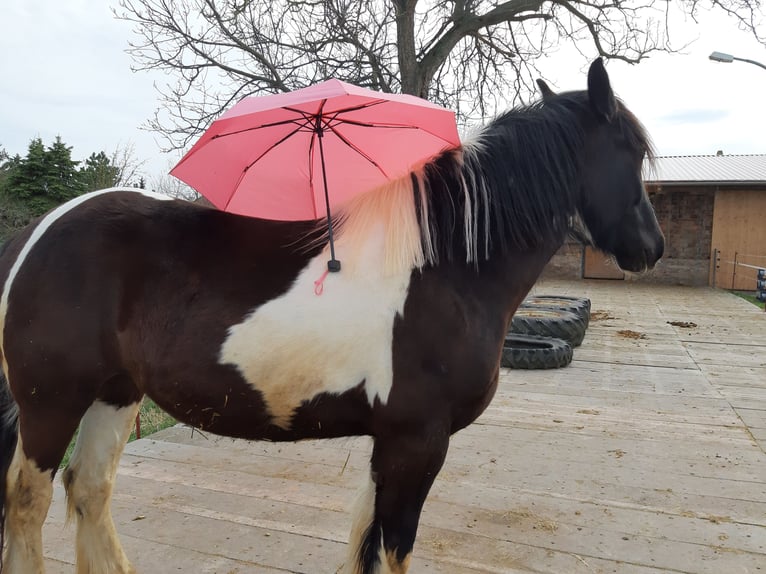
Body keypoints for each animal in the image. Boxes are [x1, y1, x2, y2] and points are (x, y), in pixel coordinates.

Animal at [0, 58, 663, 574]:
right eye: (630, 150)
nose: (650, 248)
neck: (447, 265)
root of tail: (38, 231)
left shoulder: (390, 441)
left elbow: (366, 545)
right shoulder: (418, 441)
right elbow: (394, 548)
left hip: (113, 393)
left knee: (89, 490)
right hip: (51, 400)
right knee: (27, 501)